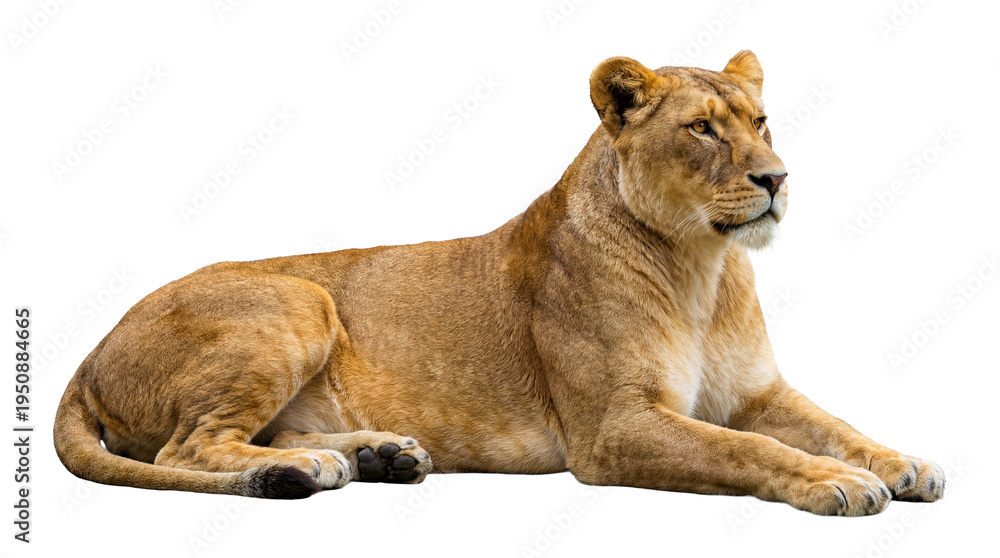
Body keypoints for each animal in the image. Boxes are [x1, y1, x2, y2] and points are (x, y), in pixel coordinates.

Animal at [55, 51, 945, 515]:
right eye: (702, 129)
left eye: (760, 123)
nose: (777, 179)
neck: (703, 267)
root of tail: (88, 355)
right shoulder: (613, 429)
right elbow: (745, 448)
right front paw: (839, 482)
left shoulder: (759, 391)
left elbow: (832, 423)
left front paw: (903, 462)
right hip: (296, 299)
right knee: (185, 446)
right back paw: (312, 469)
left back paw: (374, 454)